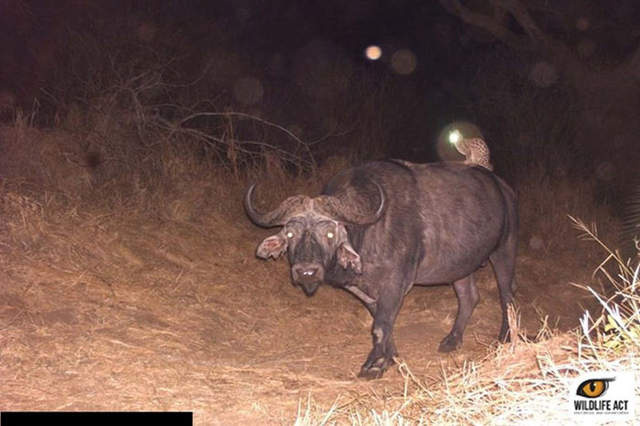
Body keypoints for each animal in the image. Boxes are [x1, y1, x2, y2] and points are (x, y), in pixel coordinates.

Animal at [246, 161, 520, 380]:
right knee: (468, 297)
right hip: (460, 266)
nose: (306, 272)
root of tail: (504, 189)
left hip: (504, 250)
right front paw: (390, 357)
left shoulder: (396, 283)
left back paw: (505, 337)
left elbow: (380, 325)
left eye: (330, 233)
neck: (368, 232)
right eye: (290, 234)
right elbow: (382, 322)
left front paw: (374, 365)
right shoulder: (363, 289)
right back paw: (452, 340)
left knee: (507, 296)